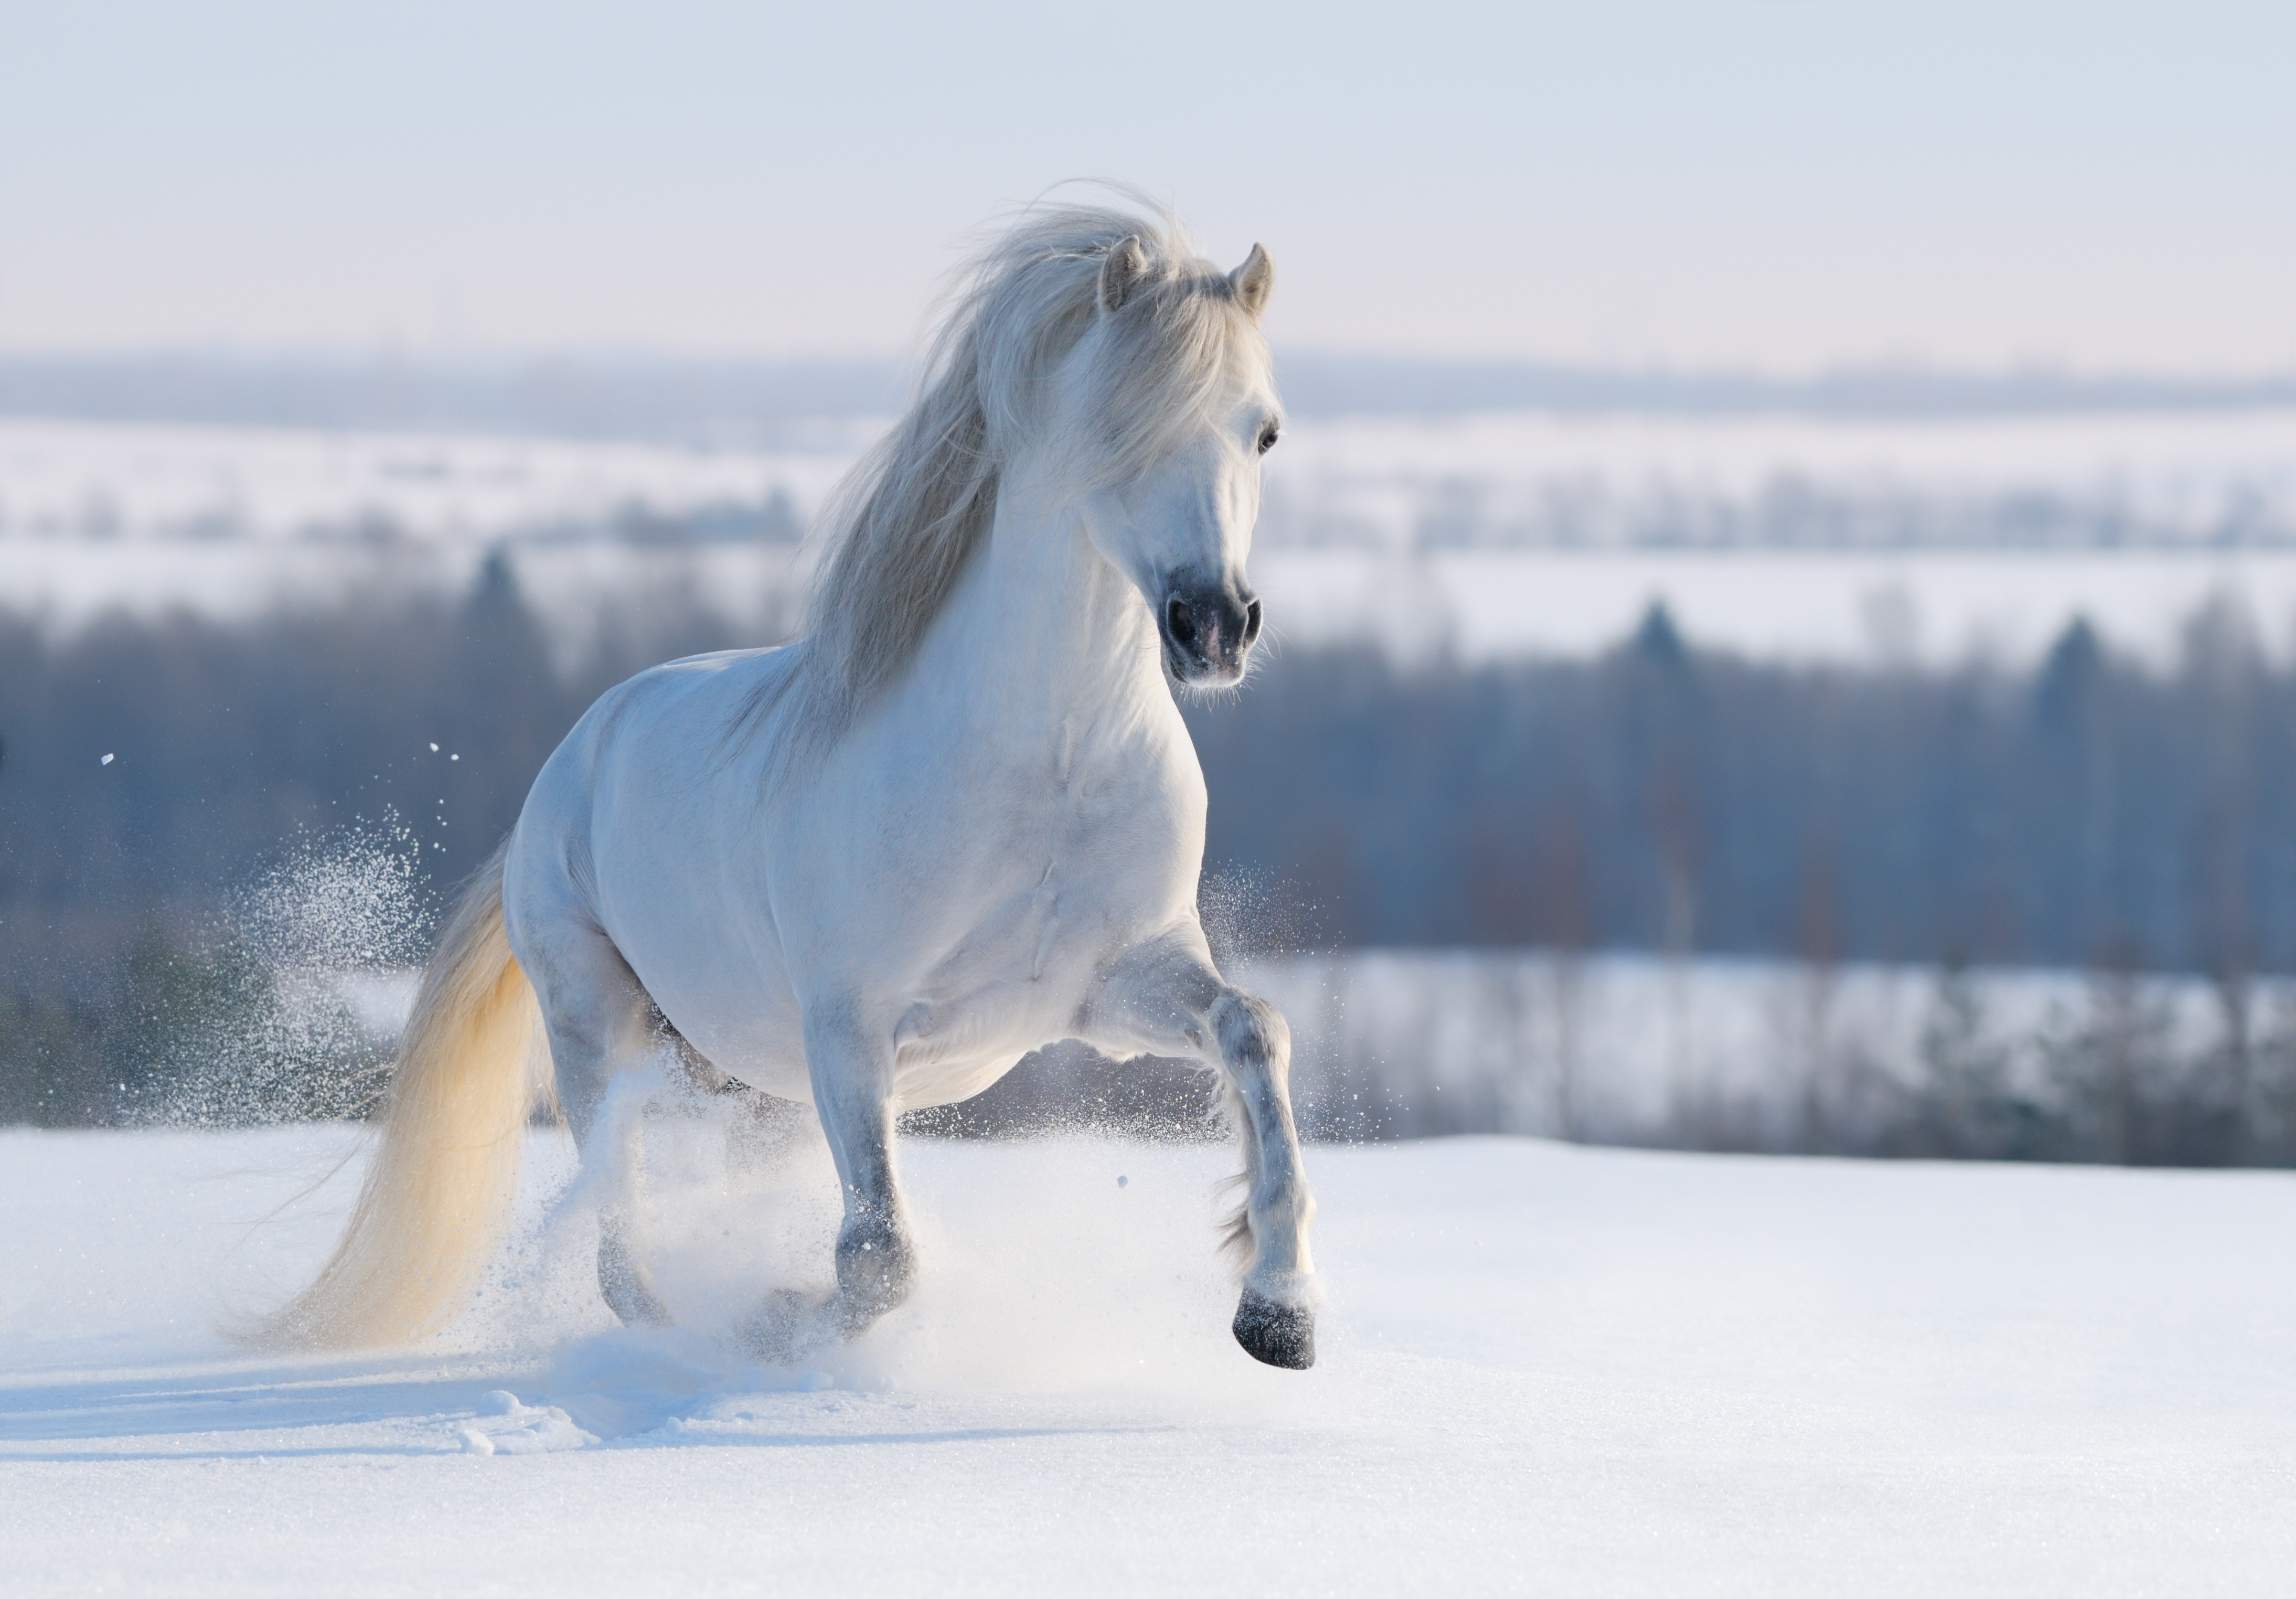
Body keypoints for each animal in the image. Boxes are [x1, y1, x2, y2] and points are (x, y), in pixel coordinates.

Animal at [268, 200, 1319, 1369]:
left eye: (1263, 432)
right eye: (1119, 425)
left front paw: (1278, 1311)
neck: (1043, 766)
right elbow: (878, 1257)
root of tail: (570, 759)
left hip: (753, 1085)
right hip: (601, 1029)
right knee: (619, 1246)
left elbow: (1255, 1029)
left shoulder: (1109, 987)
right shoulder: (849, 1030)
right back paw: (684, 1335)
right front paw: (777, 1322)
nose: (1213, 626)